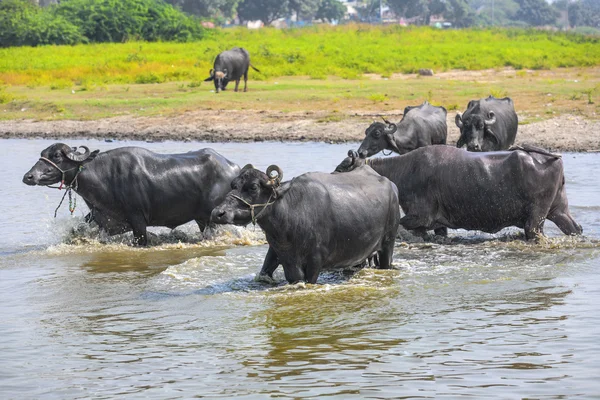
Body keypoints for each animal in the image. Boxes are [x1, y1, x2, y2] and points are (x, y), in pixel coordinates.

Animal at [23, 142, 239, 245]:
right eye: (42, 154)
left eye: (56, 156)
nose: (29, 176)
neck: (103, 177)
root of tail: (233, 168)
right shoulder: (103, 220)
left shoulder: (138, 220)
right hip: (202, 220)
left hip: (212, 219)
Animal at [209, 164, 400, 282]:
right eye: (233, 185)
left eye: (253, 187)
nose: (218, 213)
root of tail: (392, 186)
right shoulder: (280, 254)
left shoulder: (315, 261)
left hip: (388, 244)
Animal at [332, 145, 580, 241]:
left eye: (343, 165)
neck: (405, 170)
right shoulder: (435, 223)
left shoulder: (421, 216)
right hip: (559, 209)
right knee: (575, 228)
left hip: (536, 217)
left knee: (534, 231)